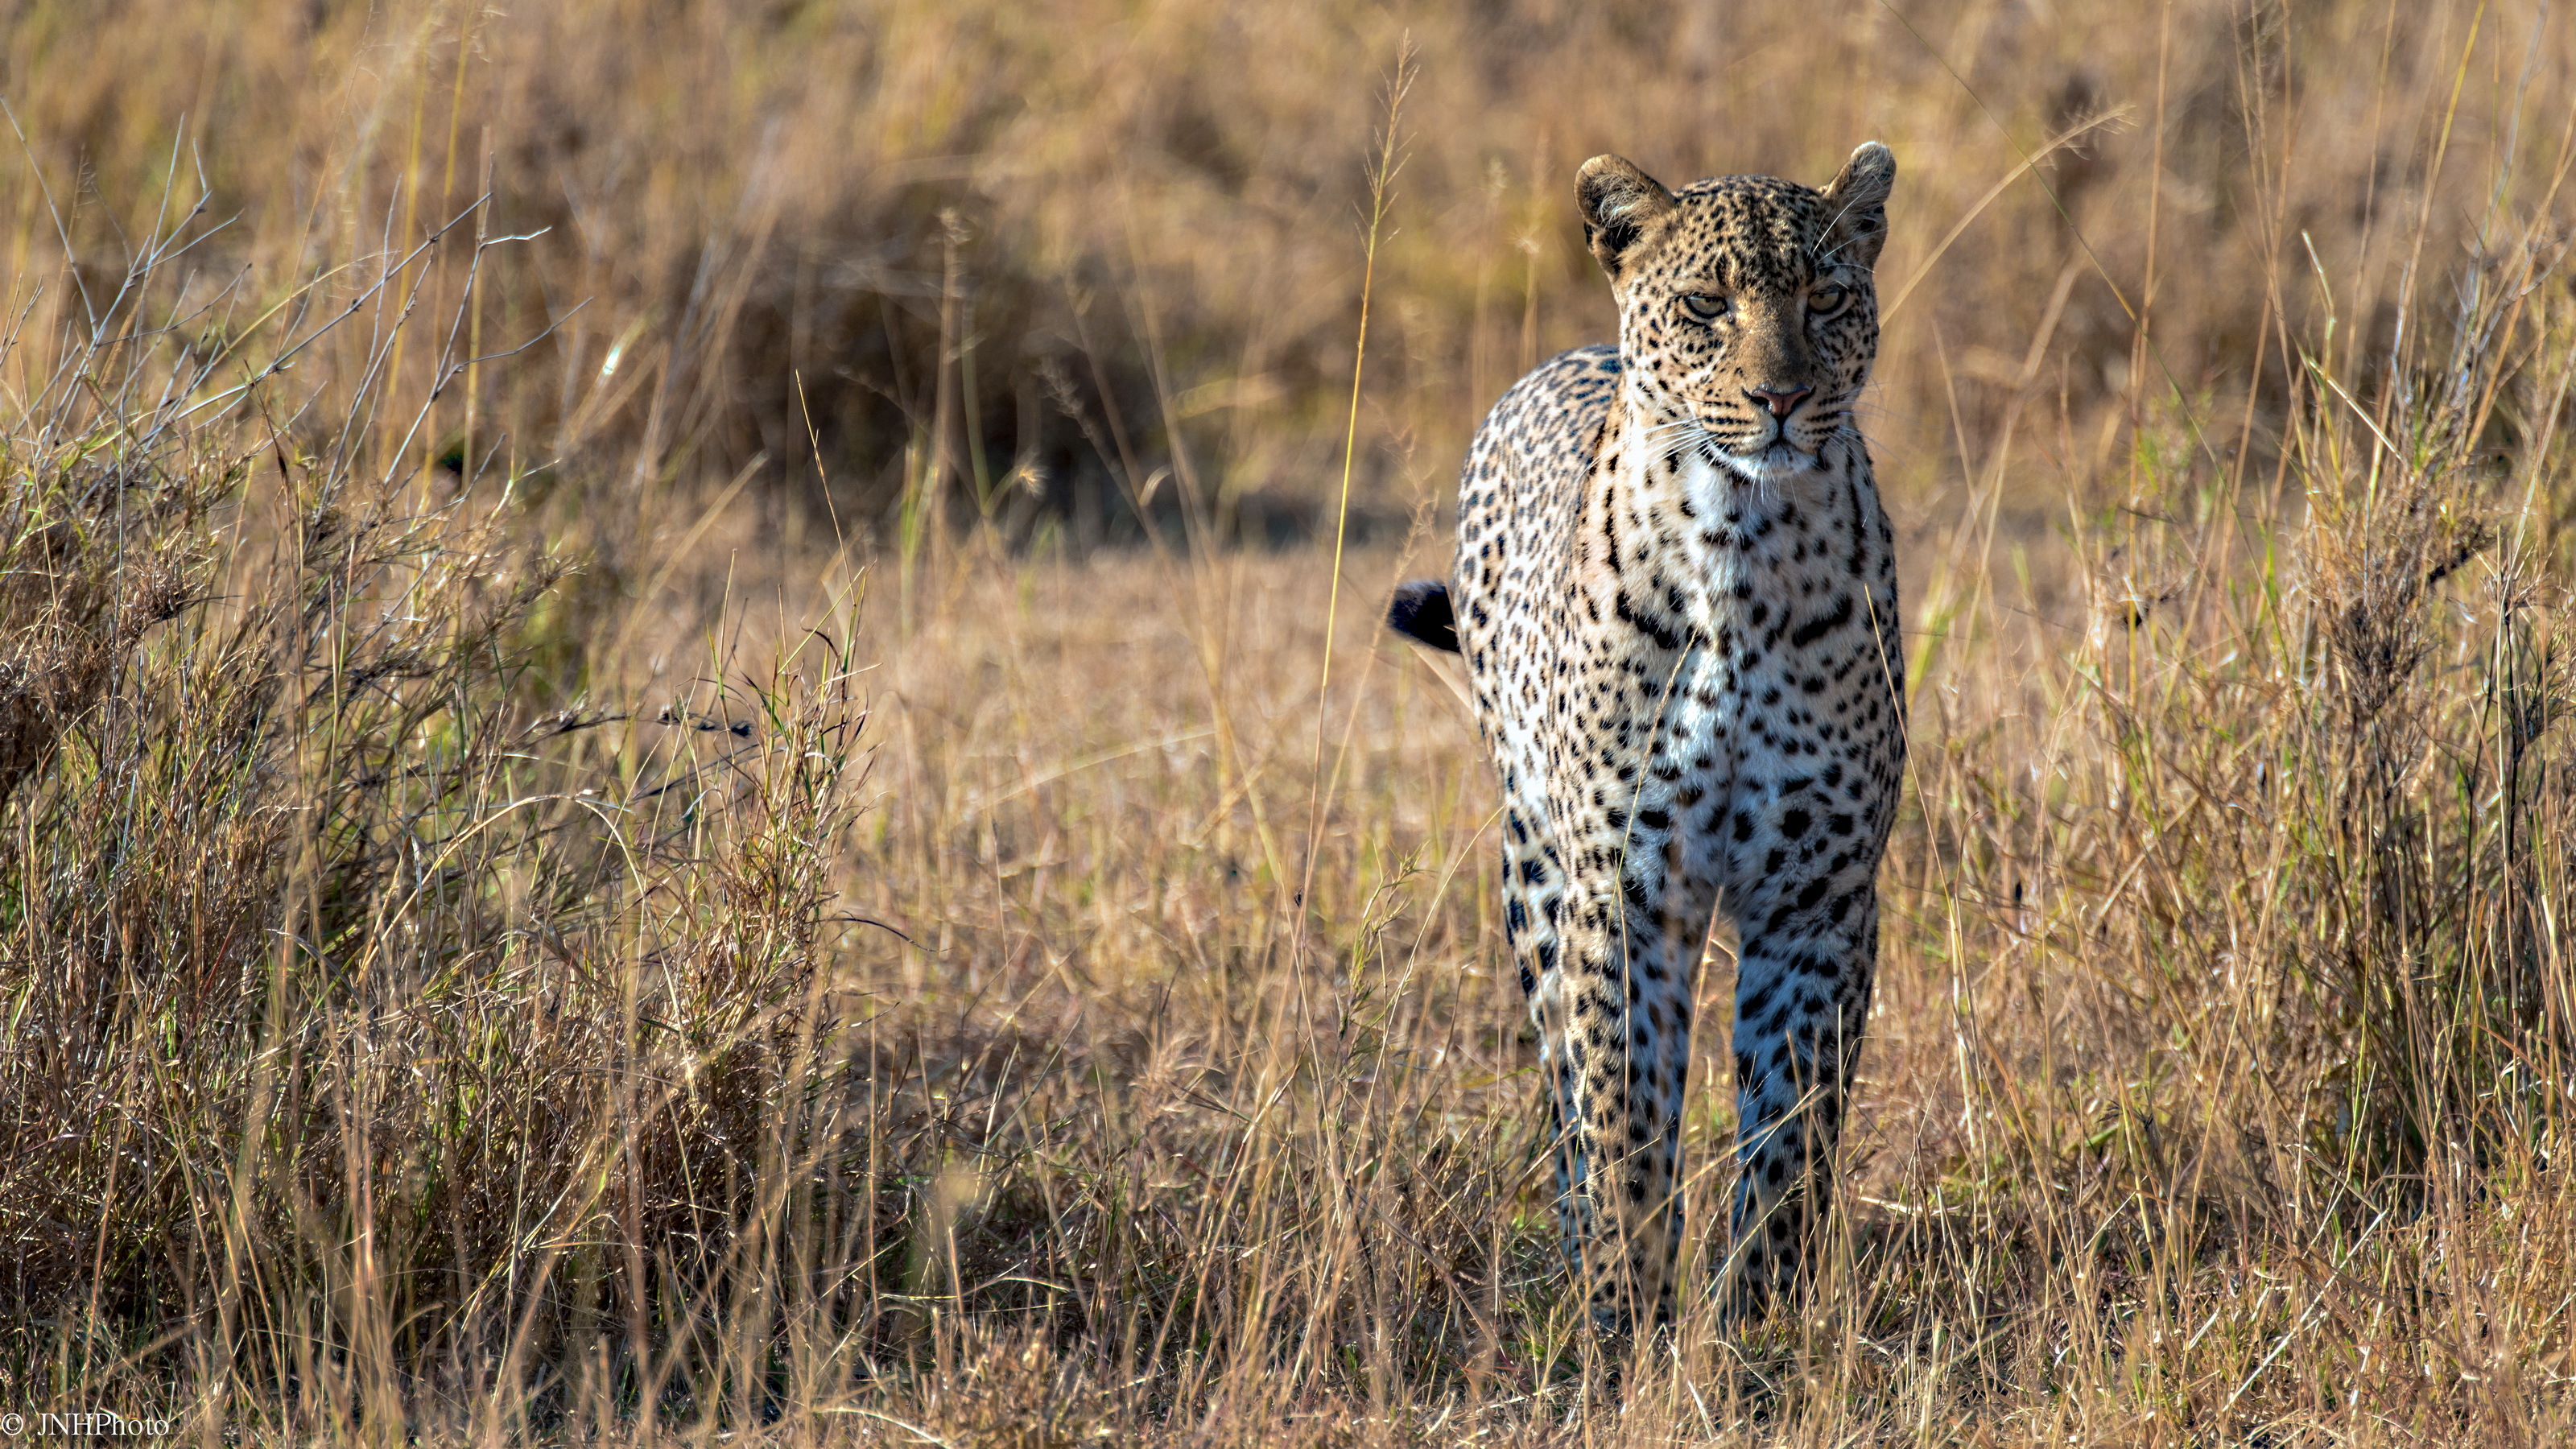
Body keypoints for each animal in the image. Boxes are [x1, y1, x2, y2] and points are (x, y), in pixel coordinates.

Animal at [1391, 141, 1916, 1330]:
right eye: (1706, 305)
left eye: (1826, 299)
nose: (1782, 396)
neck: (1742, 546)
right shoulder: (1624, 886)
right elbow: (1625, 1107)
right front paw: (1626, 1312)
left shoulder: (1819, 894)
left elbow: (1791, 1130)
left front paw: (1761, 1320)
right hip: (1534, 869)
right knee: (1564, 1084)